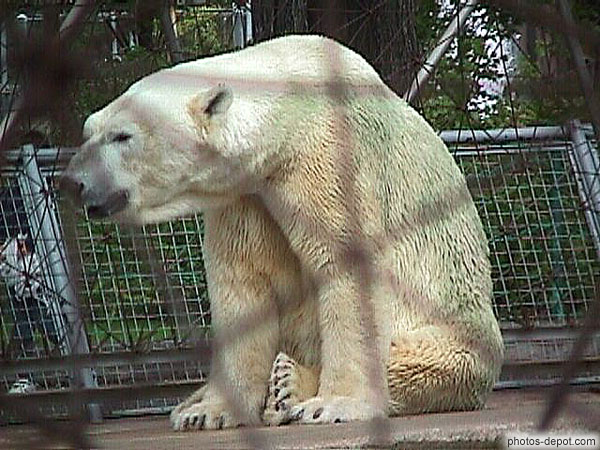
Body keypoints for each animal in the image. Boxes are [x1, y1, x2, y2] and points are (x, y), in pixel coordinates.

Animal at [60, 34, 504, 430]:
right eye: (88, 130)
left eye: (122, 136)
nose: (73, 182)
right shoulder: (248, 193)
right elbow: (243, 283)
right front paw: (208, 412)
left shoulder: (328, 158)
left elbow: (349, 268)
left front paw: (333, 404)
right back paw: (198, 400)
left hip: (456, 331)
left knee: (423, 362)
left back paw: (290, 384)